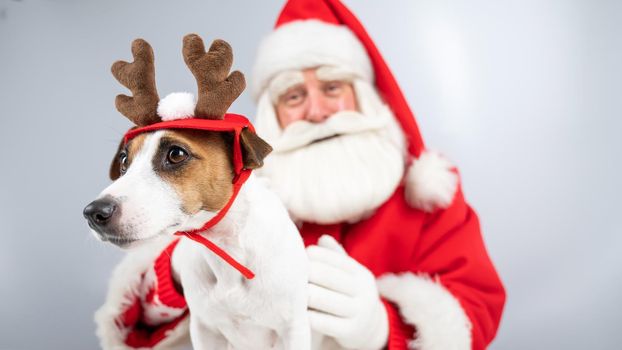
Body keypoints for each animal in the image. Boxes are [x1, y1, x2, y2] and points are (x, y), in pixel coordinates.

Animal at [83, 34, 312, 348]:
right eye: (124, 160)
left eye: (176, 154)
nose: (94, 212)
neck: (227, 251)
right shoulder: (204, 329)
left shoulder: (294, 328)